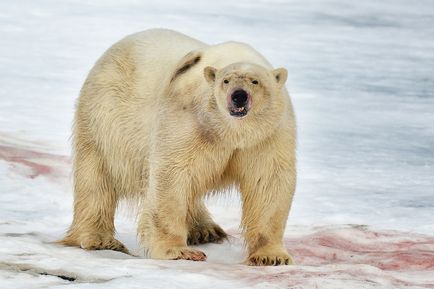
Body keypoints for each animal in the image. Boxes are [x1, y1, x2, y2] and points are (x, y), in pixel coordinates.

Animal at [61, 28, 296, 264]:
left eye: (255, 81)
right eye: (226, 81)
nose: (239, 96)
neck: (231, 131)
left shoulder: (266, 137)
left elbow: (268, 182)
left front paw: (270, 257)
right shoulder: (187, 118)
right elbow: (172, 175)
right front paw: (178, 251)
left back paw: (205, 229)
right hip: (107, 120)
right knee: (96, 179)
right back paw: (100, 239)